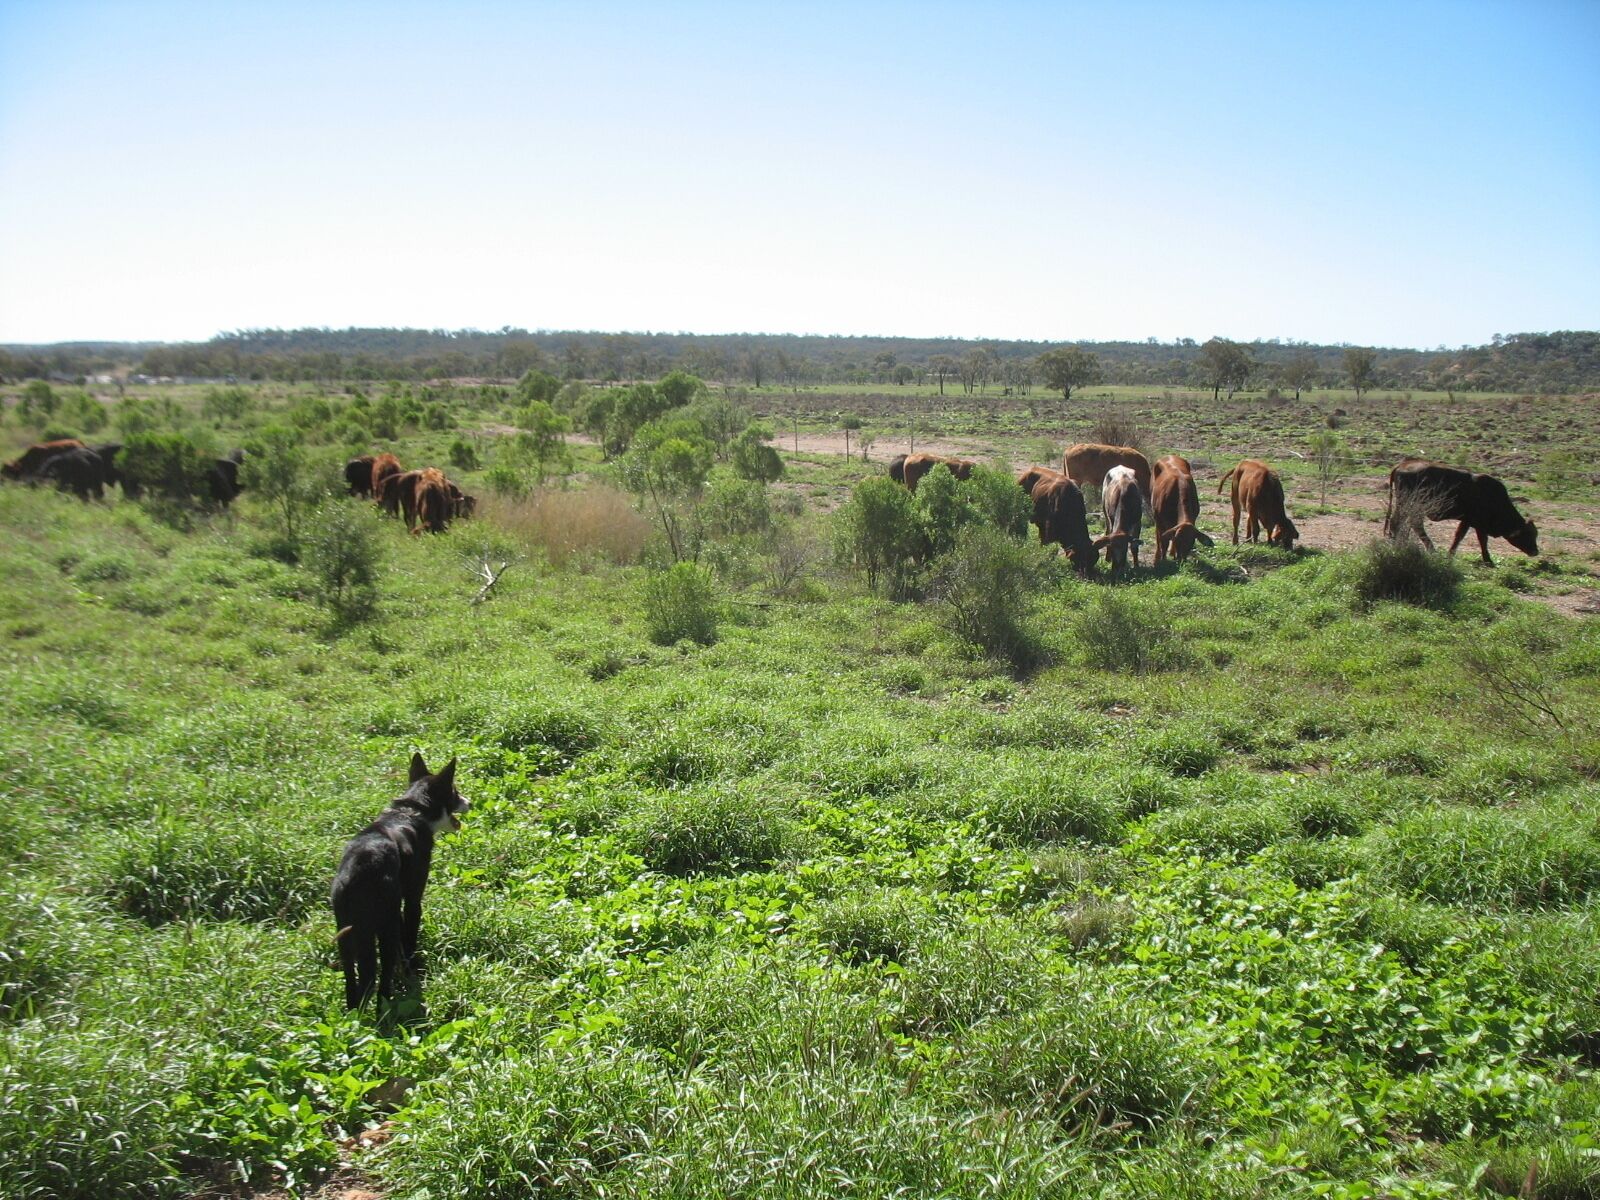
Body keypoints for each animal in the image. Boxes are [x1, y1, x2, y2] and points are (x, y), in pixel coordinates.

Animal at [331, 755, 467, 1011]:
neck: (412, 810)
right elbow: (409, 940)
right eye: (455, 792)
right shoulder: (412, 899)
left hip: (345, 932)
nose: (469, 802)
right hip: (384, 926)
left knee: (352, 981)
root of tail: (357, 871)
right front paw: (414, 973)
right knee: (379, 978)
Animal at [1388, 457, 1536, 566]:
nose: (1535, 551)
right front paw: (1487, 560)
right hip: (1408, 505)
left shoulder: (1471, 522)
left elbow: (1465, 537)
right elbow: (1474, 539)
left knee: (1409, 524)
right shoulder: (1474, 522)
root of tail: (1402, 465)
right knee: (1402, 522)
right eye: (1528, 534)